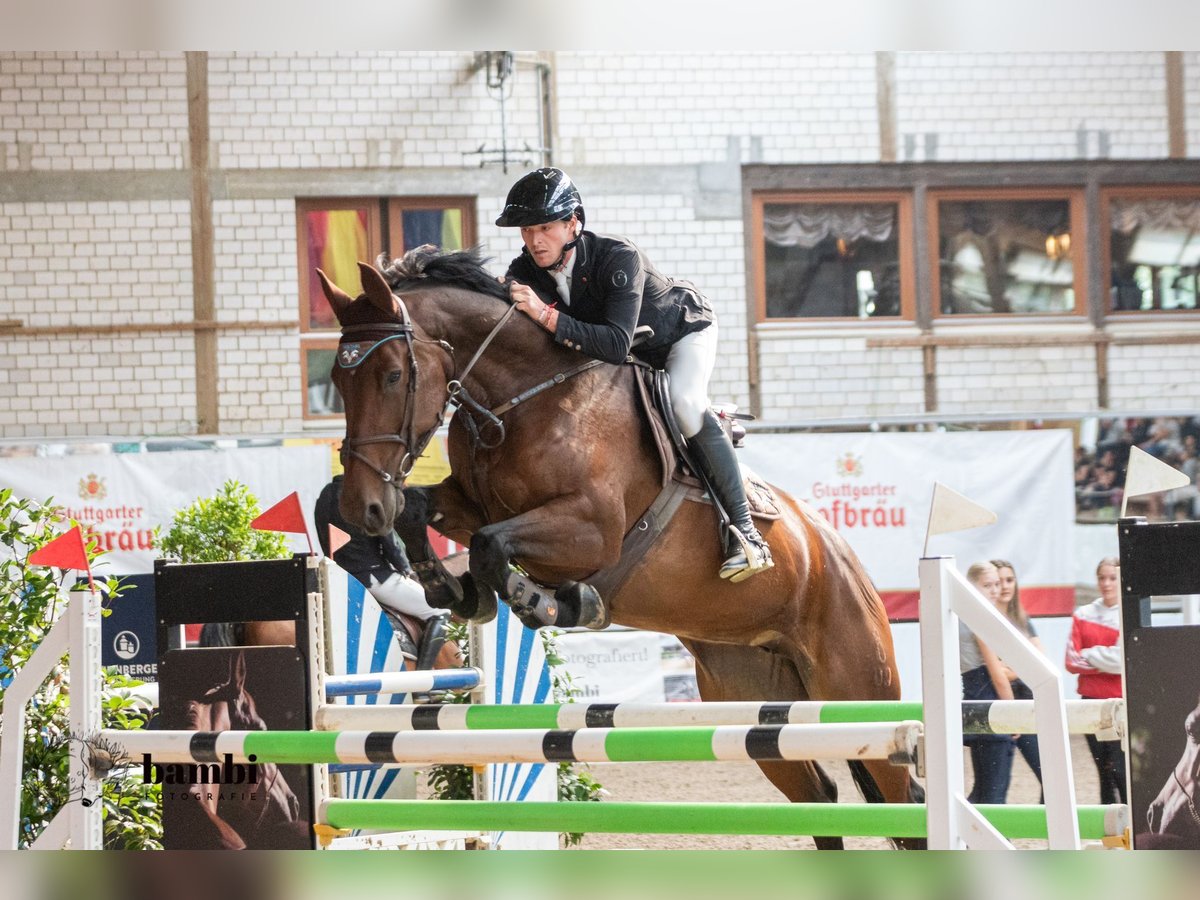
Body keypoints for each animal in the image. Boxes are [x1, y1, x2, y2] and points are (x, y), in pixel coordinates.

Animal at [316, 250, 916, 849]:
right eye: (338, 380)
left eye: (393, 374)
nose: (363, 507)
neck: (525, 396)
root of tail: (844, 559)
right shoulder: (470, 503)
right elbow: (422, 513)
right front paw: (454, 590)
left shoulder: (592, 530)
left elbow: (493, 546)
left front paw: (554, 602)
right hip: (750, 695)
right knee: (820, 799)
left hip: (859, 691)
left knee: (902, 803)